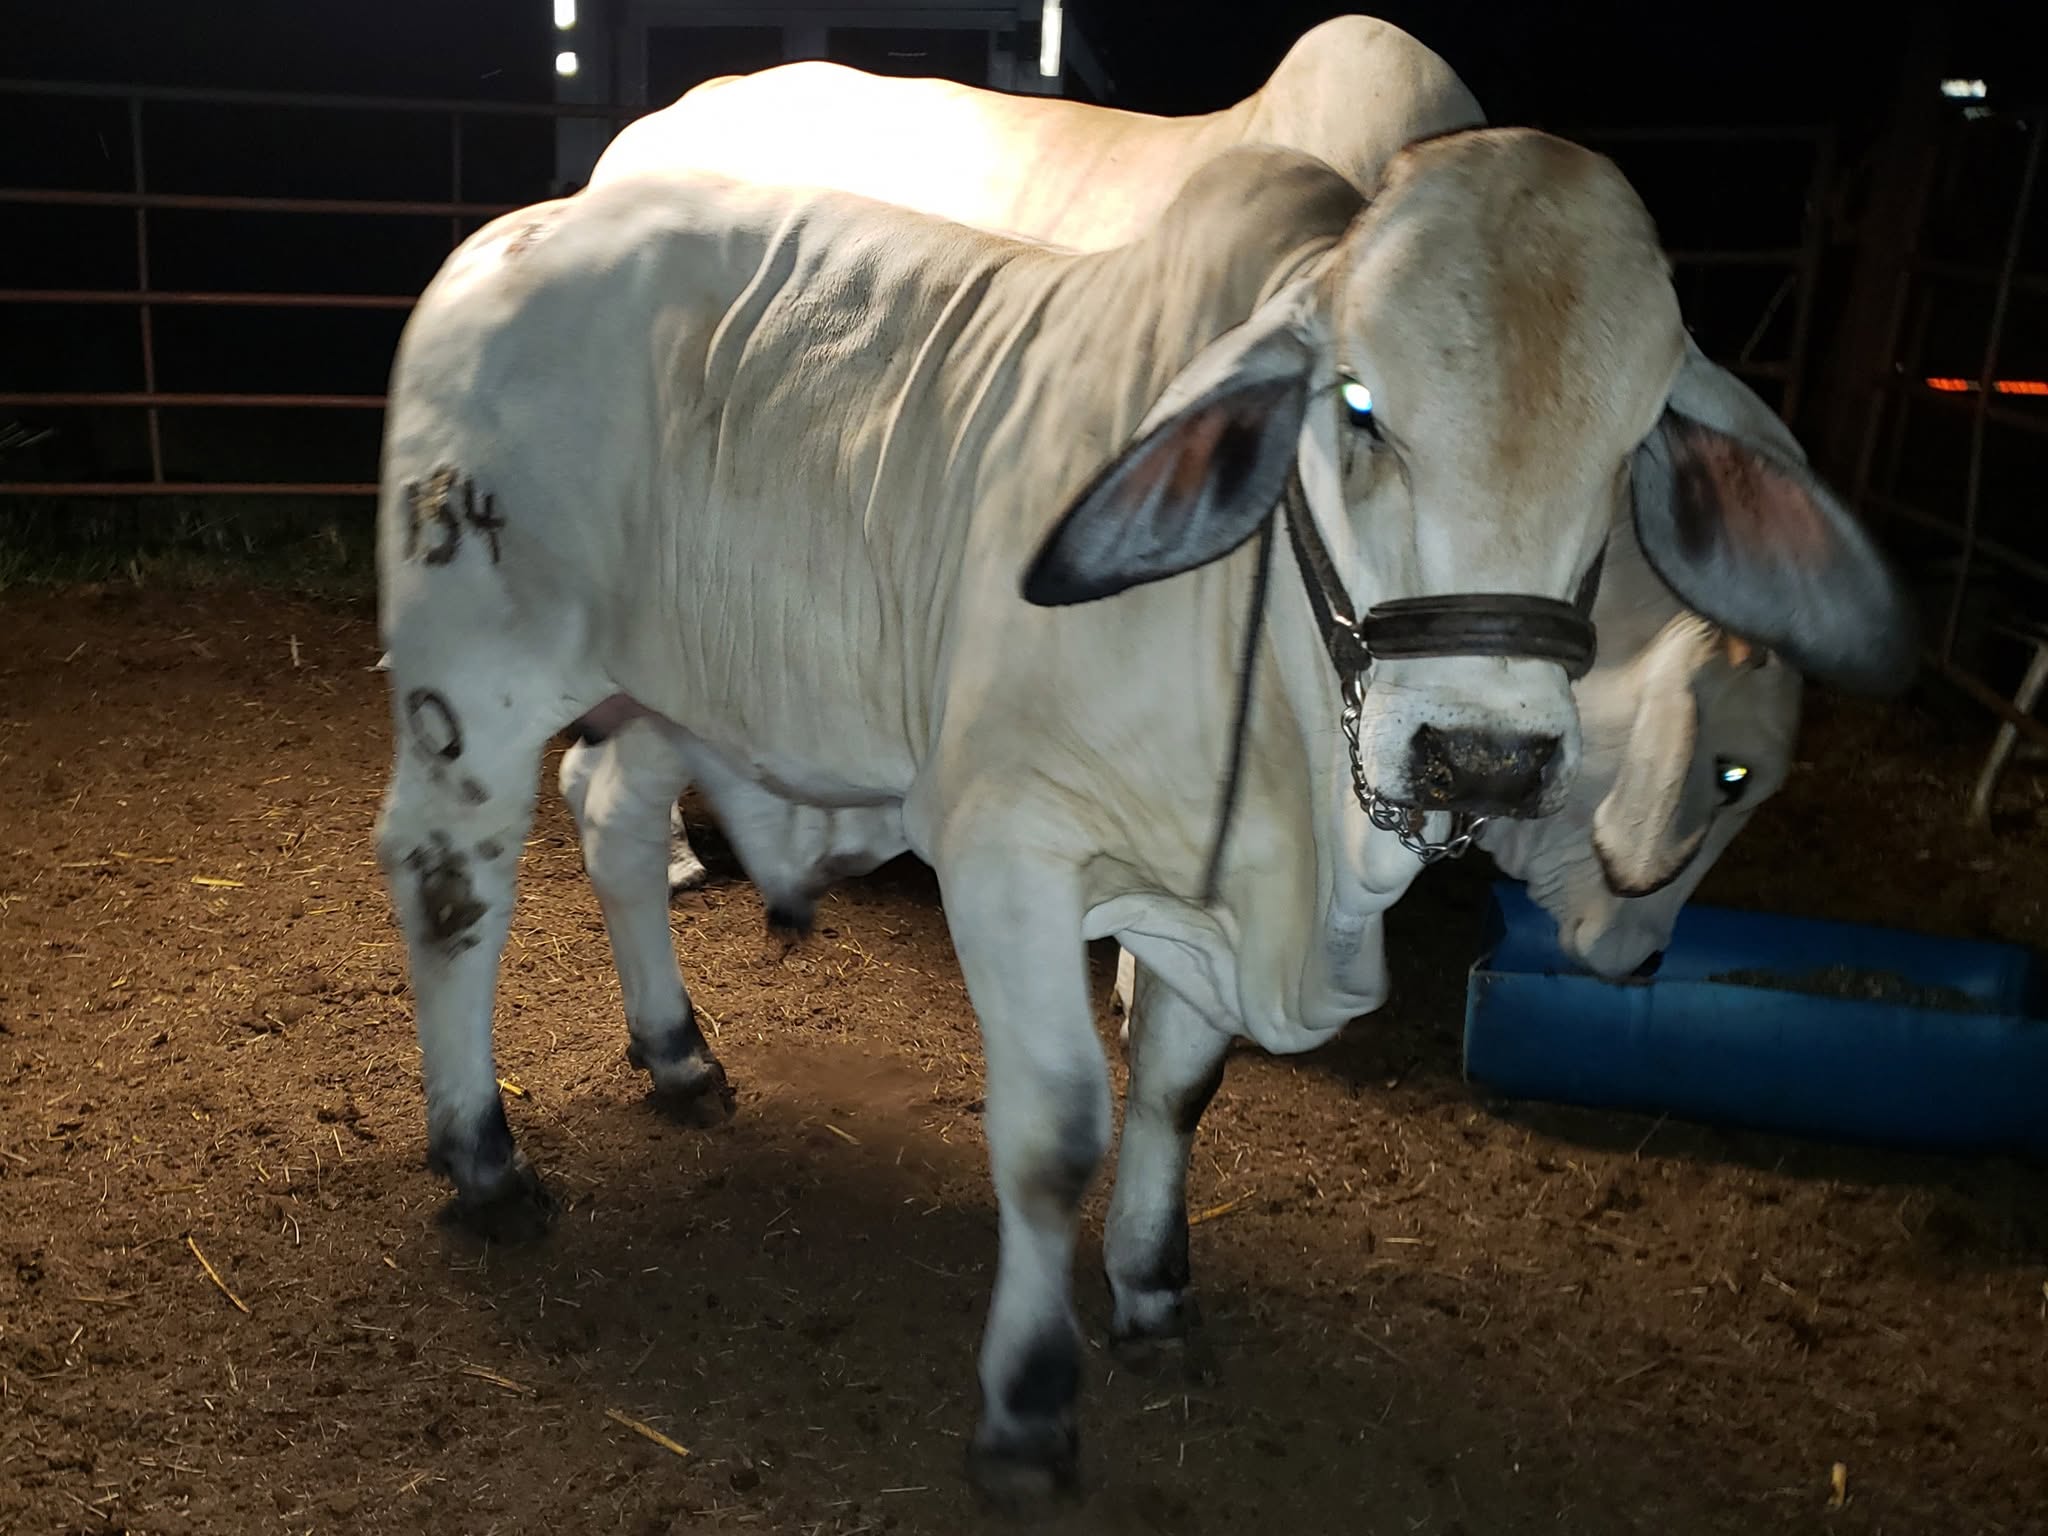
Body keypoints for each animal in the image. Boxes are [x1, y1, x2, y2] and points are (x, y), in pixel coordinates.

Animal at [373, 140, 1911, 1504]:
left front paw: (1155, 1292)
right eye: (1357, 403)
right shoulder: (1008, 850)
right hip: (475, 685)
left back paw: (678, 1054)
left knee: (615, 820)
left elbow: (1176, 1090)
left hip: (671, 691)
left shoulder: (1196, 895)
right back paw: (485, 1160)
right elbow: (1057, 1130)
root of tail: (503, 240)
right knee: (452, 889)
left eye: (1633, 440)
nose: (1482, 755)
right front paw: (1026, 1406)